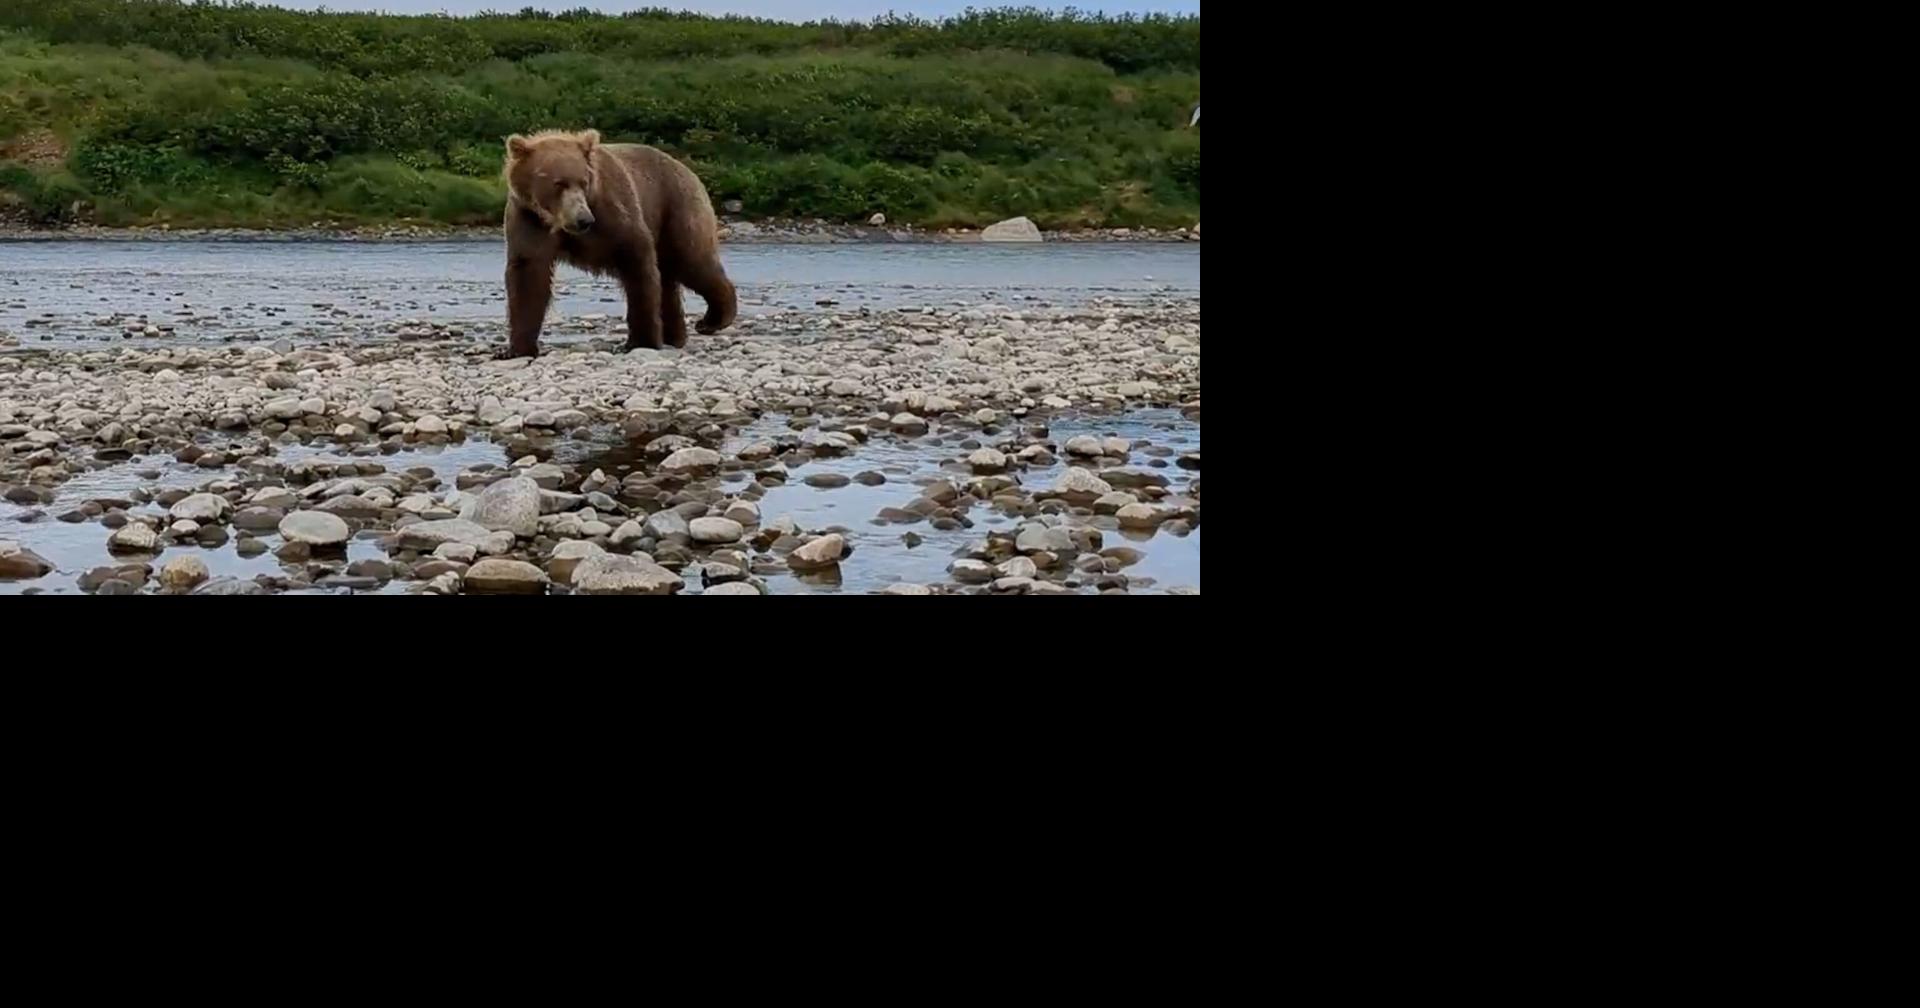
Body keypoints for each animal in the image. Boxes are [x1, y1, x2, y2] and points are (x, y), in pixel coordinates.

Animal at [500, 129, 736, 358]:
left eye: (583, 181)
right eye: (559, 183)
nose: (583, 219)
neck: (556, 222)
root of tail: (686, 169)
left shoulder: (613, 213)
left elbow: (637, 263)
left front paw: (642, 340)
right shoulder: (529, 219)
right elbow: (528, 277)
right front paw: (518, 349)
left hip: (676, 208)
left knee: (691, 261)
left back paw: (711, 320)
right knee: (669, 279)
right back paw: (674, 336)